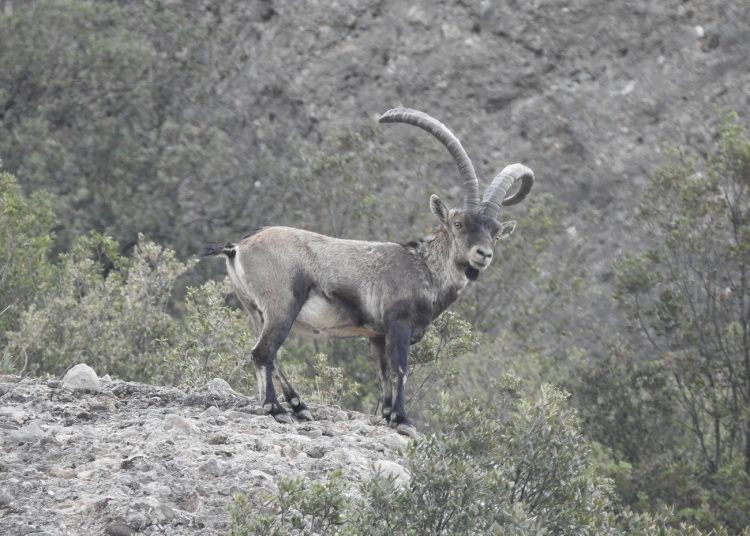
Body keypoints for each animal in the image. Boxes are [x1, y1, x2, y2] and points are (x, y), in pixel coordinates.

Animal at [203, 108, 534, 436]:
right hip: (282, 306)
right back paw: (277, 409)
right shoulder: (398, 325)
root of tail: (238, 248)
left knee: (270, 354)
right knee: (263, 352)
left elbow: (384, 371)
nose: (483, 254)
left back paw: (299, 406)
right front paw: (403, 420)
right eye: (458, 223)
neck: (424, 268)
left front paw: (387, 414)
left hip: (255, 310)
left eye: (495, 232)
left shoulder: (378, 335)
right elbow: (400, 369)